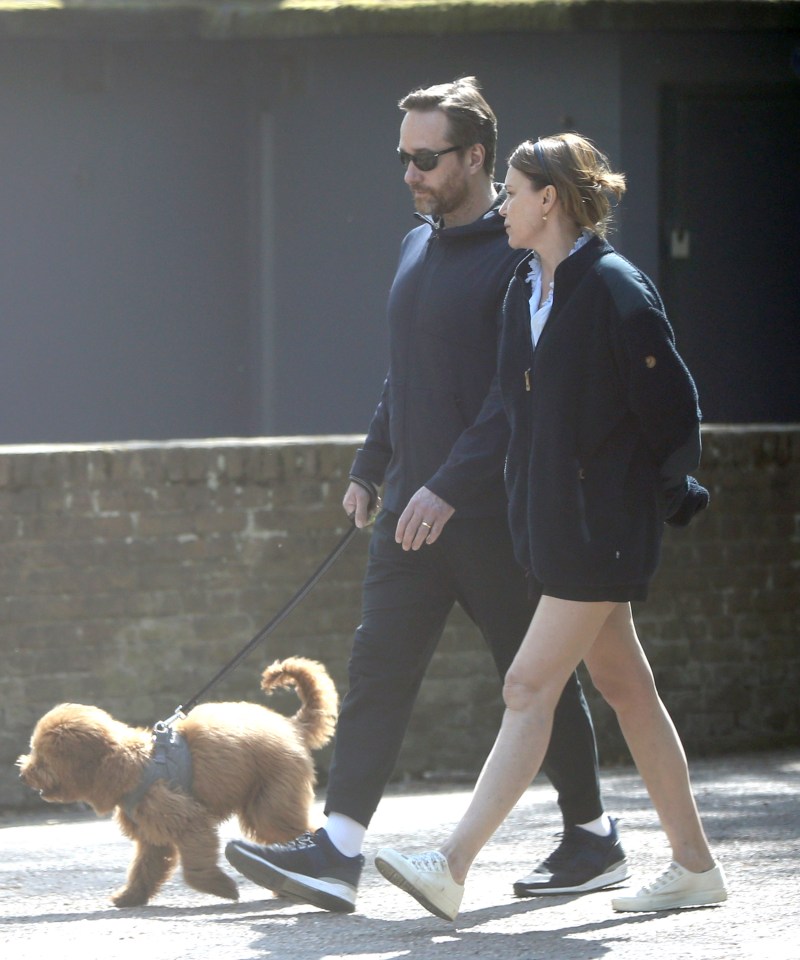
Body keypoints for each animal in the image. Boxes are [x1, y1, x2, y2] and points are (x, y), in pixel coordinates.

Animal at [18, 660, 338, 908]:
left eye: (42, 758)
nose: (23, 774)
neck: (130, 764)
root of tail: (291, 727)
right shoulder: (151, 834)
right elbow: (146, 866)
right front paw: (130, 896)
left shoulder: (185, 817)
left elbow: (194, 861)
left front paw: (219, 886)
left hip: (271, 798)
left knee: (297, 828)